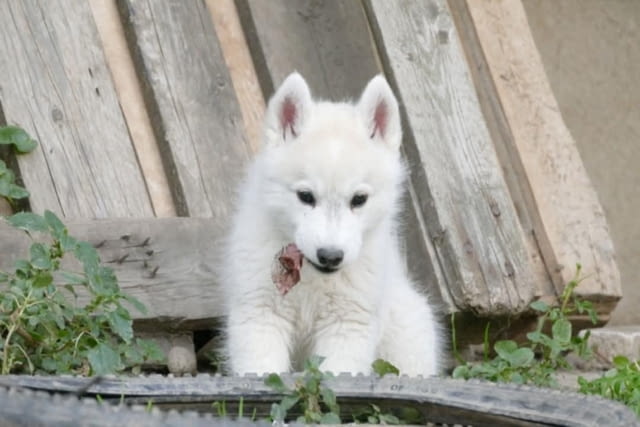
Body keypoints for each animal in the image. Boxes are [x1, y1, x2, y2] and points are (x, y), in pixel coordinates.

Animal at [224, 73, 440, 378]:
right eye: (305, 196)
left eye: (359, 199)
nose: (330, 256)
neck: (310, 278)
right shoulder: (260, 313)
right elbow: (263, 371)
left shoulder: (348, 323)